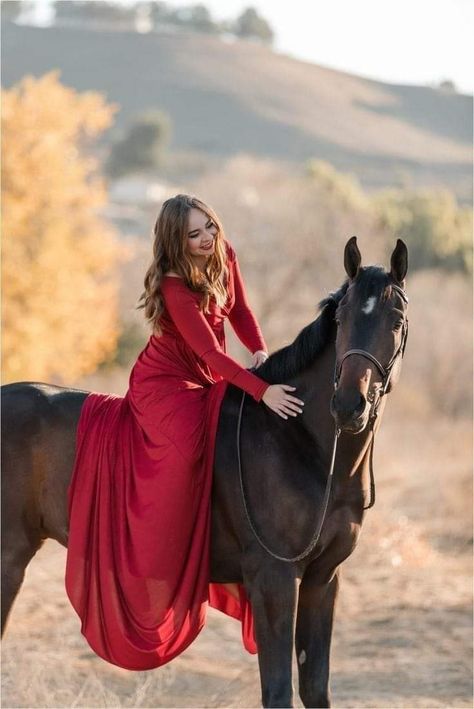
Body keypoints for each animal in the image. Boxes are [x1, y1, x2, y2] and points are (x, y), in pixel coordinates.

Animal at [0, 236, 408, 704]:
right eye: (341, 319)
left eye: (396, 321)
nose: (348, 406)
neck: (302, 442)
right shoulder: (274, 579)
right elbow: (278, 691)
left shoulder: (323, 581)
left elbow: (315, 688)